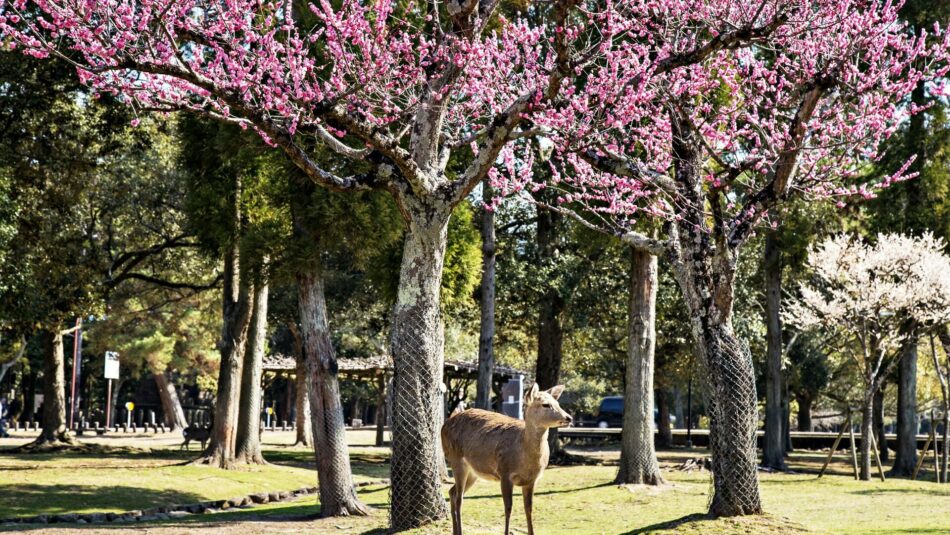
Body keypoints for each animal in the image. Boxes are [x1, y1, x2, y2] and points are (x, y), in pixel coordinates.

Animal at [441, 383, 572, 535]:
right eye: (545, 404)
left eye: (558, 403)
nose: (569, 418)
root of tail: (444, 425)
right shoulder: (505, 474)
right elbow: (508, 508)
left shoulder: (532, 480)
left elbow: (529, 509)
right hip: (455, 458)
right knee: (459, 498)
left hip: (473, 472)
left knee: (452, 492)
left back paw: (454, 530)